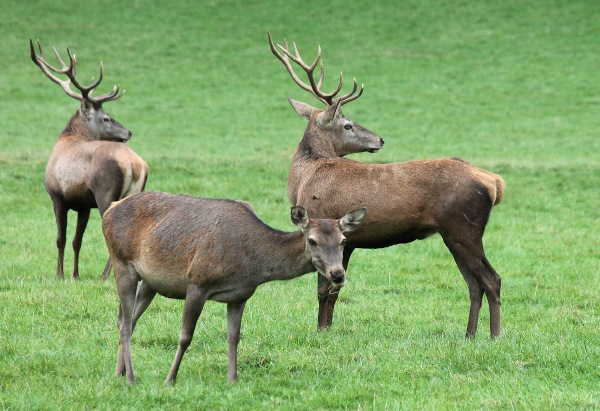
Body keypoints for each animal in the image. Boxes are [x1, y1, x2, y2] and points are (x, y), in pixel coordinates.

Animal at [30, 40, 149, 282]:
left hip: (105, 192)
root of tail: (135, 165)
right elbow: (77, 241)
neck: (68, 137)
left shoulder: (57, 196)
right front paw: (75, 274)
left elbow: (61, 239)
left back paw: (105, 276)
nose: (128, 132)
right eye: (106, 118)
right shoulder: (83, 205)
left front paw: (60, 274)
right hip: (132, 194)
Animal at [102, 193, 366, 386]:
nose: (338, 274)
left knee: (126, 319)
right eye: (312, 241)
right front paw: (170, 379)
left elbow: (233, 337)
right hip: (121, 263)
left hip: (149, 282)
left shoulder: (240, 296)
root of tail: (109, 209)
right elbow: (185, 336)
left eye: (343, 241)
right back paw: (131, 378)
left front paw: (232, 379)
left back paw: (119, 373)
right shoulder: (197, 282)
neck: (249, 265)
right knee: (125, 323)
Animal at [270, 33, 504, 338]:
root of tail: (493, 182)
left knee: (492, 279)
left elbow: (326, 290)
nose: (379, 139)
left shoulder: (332, 231)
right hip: (453, 233)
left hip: (463, 226)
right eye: (348, 125)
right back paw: (469, 334)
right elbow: (333, 291)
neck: (304, 179)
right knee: (474, 283)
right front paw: (327, 329)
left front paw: (322, 331)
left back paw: (495, 335)